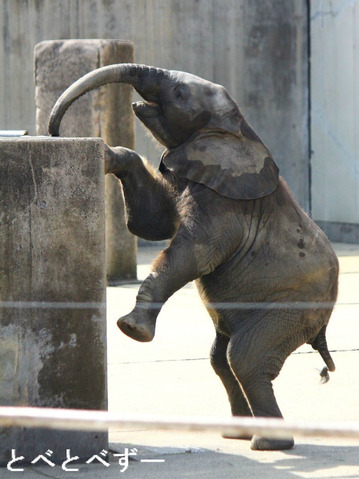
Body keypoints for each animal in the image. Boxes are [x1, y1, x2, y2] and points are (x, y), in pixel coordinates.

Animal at [49, 62, 338, 450]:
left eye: (180, 93)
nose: (54, 131)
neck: (237, 129)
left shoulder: (224, 205)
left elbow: (193, 254)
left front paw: (131, 329)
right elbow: (151, 222)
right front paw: (107, 153)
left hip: (294, 306)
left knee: (244, 358)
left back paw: (268, 444)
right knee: (220, 359)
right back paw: (237, 434)